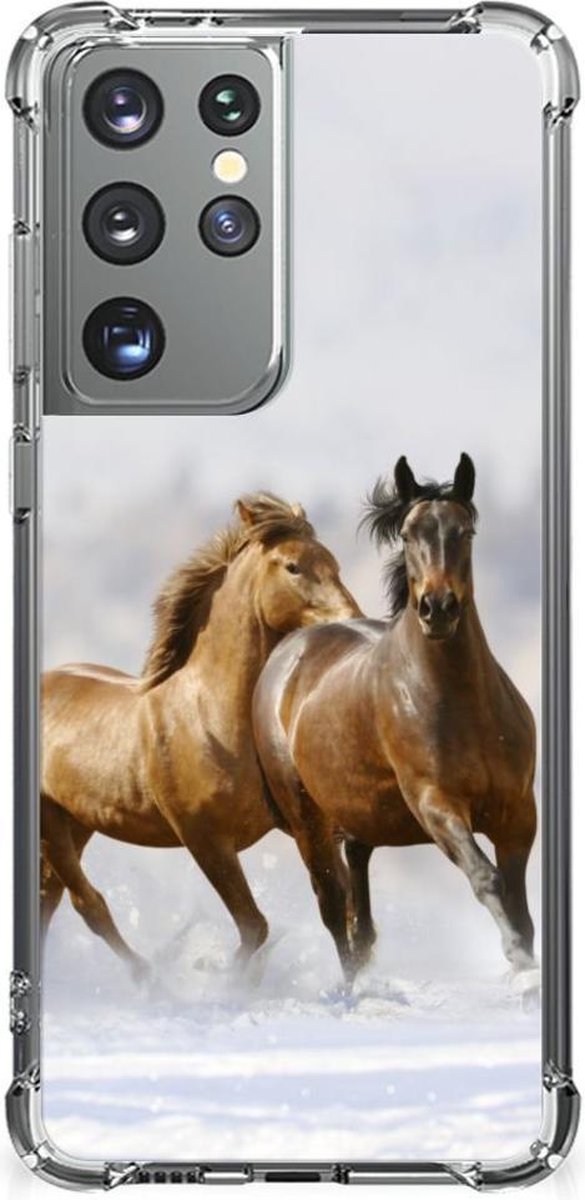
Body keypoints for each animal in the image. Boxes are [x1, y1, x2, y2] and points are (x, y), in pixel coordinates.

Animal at [41, 493, 360, 978]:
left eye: (334, 562)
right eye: (293, 567)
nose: (352, 620)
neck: (211, 717)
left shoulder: (301, 825)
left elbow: (338, 905)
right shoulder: (205, 840)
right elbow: (254, 927)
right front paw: (220, 977)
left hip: (76, 821)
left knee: (50, 898)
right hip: (50, 822)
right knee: (86, 903)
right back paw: (150, 978)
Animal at [253, 455, 537, 980]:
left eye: (465, 531)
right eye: (407, 534)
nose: (437, 608)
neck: (462, 704)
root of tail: (287, 652)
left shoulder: (518, 813)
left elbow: (520, 902)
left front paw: (525, 960)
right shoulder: (436, 804)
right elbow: (486, 878)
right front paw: (517, 960)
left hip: (359, 819)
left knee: (359, 914)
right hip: (308, 823)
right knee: (333, 908)